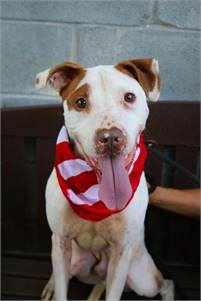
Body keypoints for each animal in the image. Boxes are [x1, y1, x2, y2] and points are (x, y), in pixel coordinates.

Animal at [35, 57, 174, 298]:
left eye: (129, 97)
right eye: (81, 102)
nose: (110, 137)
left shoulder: (121, 252)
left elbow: (113, 293)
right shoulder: (61, 242)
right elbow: (62, 290)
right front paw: (55, 288)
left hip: (141, 277)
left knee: (166, 283)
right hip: (73, 260)